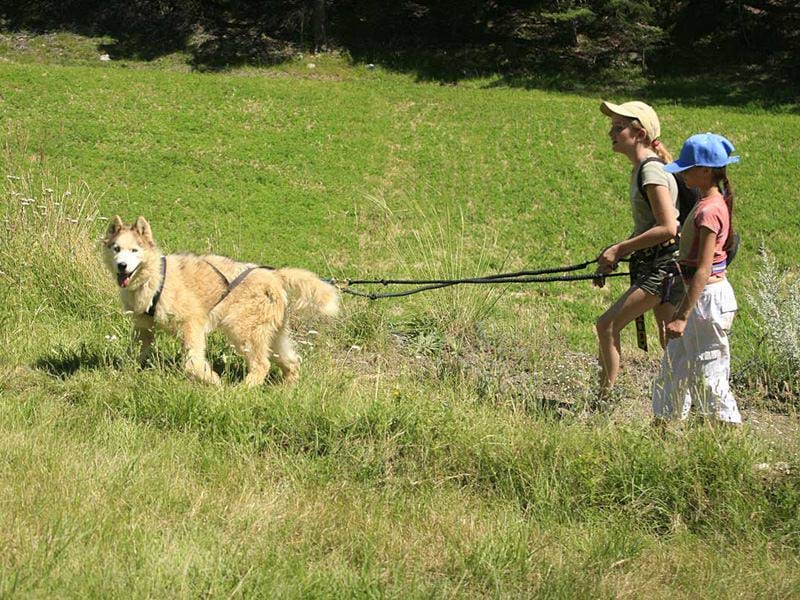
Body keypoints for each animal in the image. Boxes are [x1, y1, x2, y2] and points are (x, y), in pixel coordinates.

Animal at [100, 216, 338, 384]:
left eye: (134, 250)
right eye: (116, 249)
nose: (122, 265)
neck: (156, 278)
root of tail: (275, 275)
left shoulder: (192, 324)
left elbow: (193, 363)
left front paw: (213, 381)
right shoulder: (143, 328)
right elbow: (136, 353)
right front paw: (125, 372)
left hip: (242, 331)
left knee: (262, 365)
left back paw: (240, 391)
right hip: (272, 335)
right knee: (292, 362)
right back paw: (287, 390)